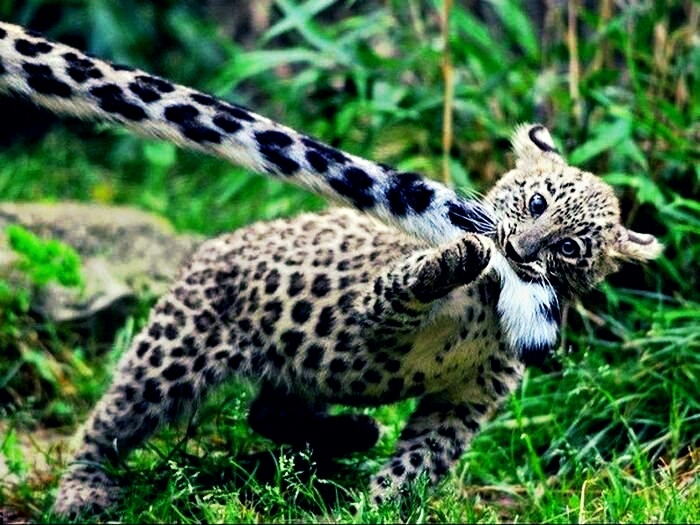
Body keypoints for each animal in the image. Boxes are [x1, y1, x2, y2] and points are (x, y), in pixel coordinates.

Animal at [0, 21, 662, 517]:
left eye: (570, 249)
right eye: (536, 202)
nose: (522, 250)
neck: (489, 312)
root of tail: (212, 245)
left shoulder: (465, 399)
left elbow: (418, 462)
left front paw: (377, 507)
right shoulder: (371, 317)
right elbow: (406, 286)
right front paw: (456, 258)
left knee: (266, 412)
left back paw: (351, 435)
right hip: (174, 351)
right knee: (114, 418)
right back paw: (83, 489)